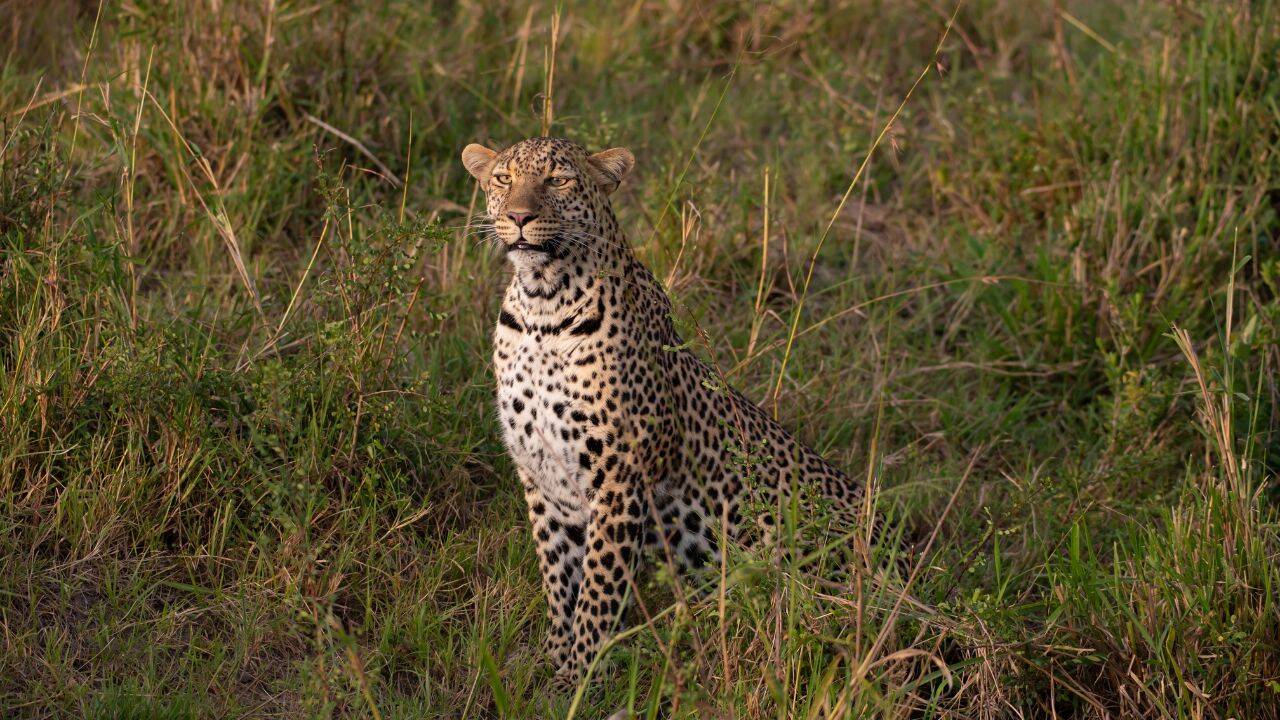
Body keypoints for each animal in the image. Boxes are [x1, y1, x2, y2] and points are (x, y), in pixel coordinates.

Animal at [461, 136, 868, 690]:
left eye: (558, 180)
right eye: (504, 179)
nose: (520, 216)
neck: (541, 307)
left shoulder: (618, 476)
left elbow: (598, 587)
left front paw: (579, 677)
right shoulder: (543, 477)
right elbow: (558, 576)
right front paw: (552, 658)